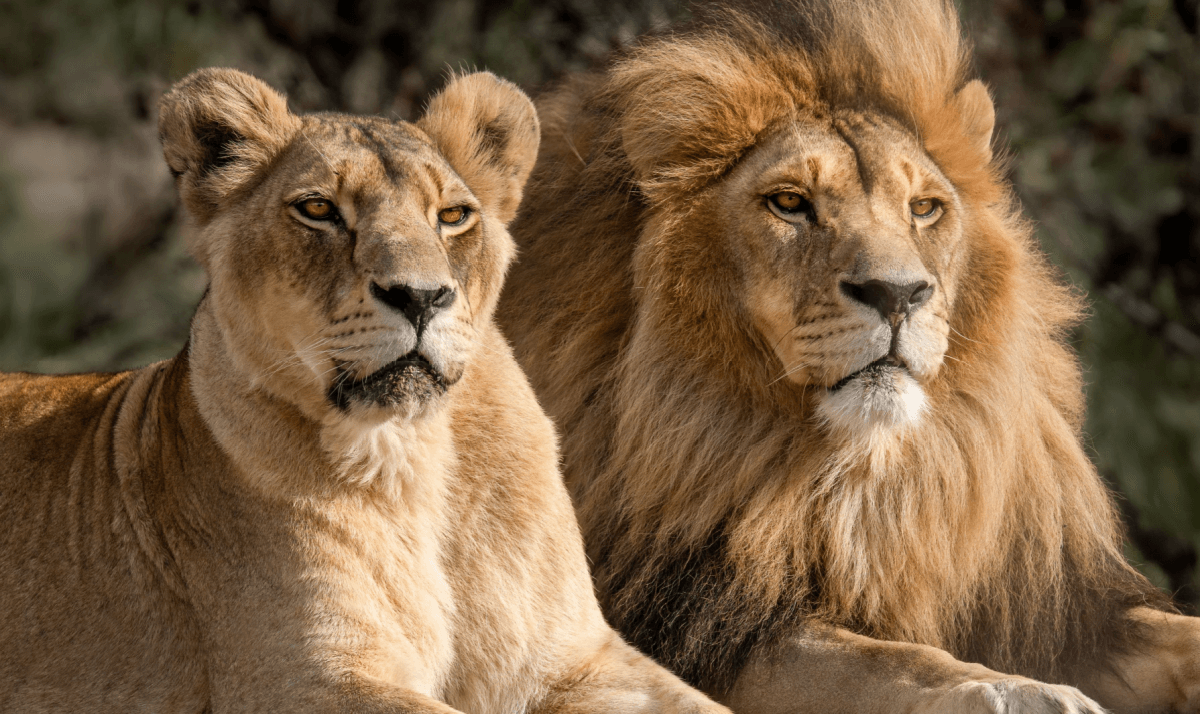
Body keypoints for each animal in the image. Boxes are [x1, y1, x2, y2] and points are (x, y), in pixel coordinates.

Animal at [0, 67, 729, 714]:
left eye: (453, 215)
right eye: (319, 210)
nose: (422, 296)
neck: (414, 453)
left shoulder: (572, 660)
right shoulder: (306, 681)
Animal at [499, 1, 1200, 714]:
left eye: (924, 209)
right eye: (789, 202)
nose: (898, 294)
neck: (863, 477)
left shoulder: (1058, 608)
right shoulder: (702, 619)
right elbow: (883, 661)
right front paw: (1016, 690)